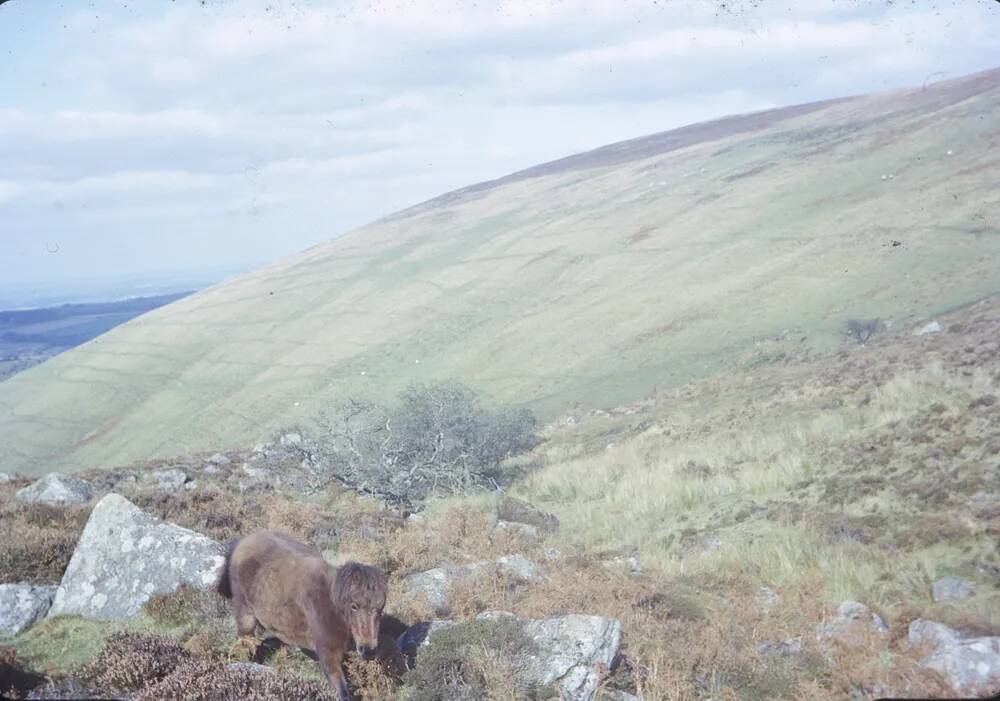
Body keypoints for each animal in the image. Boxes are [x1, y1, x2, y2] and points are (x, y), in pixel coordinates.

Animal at [217, 532, 388, 700]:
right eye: (354, 606)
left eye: (380, 608)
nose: (368, 650)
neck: (330, 604)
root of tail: (243, 541)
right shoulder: (328, 653)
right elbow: (341, 690)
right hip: (245, 613)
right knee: (245, 640)